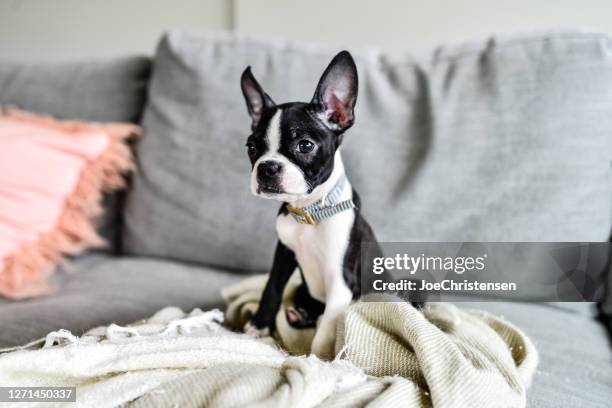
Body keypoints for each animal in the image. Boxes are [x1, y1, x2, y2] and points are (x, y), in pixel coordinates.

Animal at [239, 50, 382, 356]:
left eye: (305, 145)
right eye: (252, 147)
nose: (267, 167)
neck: (309, 210)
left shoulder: (341, 282)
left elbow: (326, 329)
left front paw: (317, 359)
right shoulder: (284, 254)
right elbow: (271, 289)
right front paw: (258, 327)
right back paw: (298, 315)